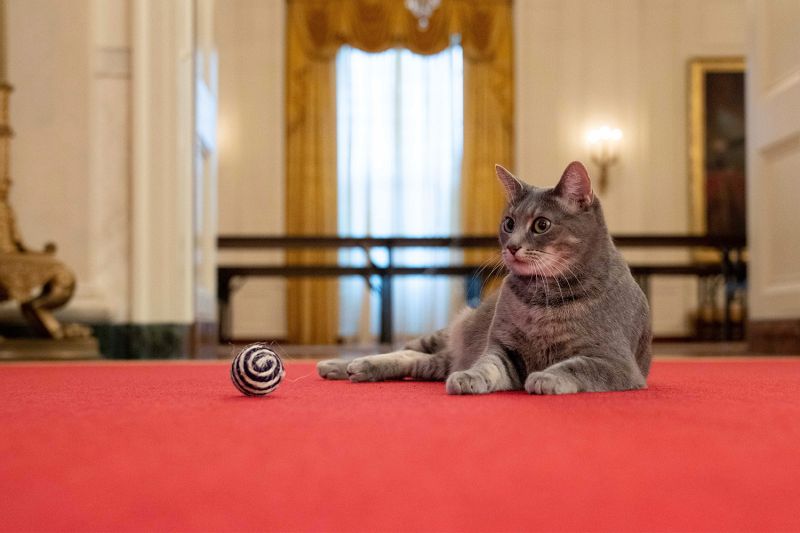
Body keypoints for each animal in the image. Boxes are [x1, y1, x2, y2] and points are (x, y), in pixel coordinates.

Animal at [318, 160, 648, 392]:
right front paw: (469, 377)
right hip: (445, 333)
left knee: (418, 361)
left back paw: (359, 368)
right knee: (406, 351)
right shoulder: (504, 348)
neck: (543, 296)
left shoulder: (614, 361)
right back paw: (341, 364)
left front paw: (547, 378)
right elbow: (487, 365)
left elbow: (575, 366)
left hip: (439, 359)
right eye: (509, 223)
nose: (512, 246)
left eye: (541, 225)